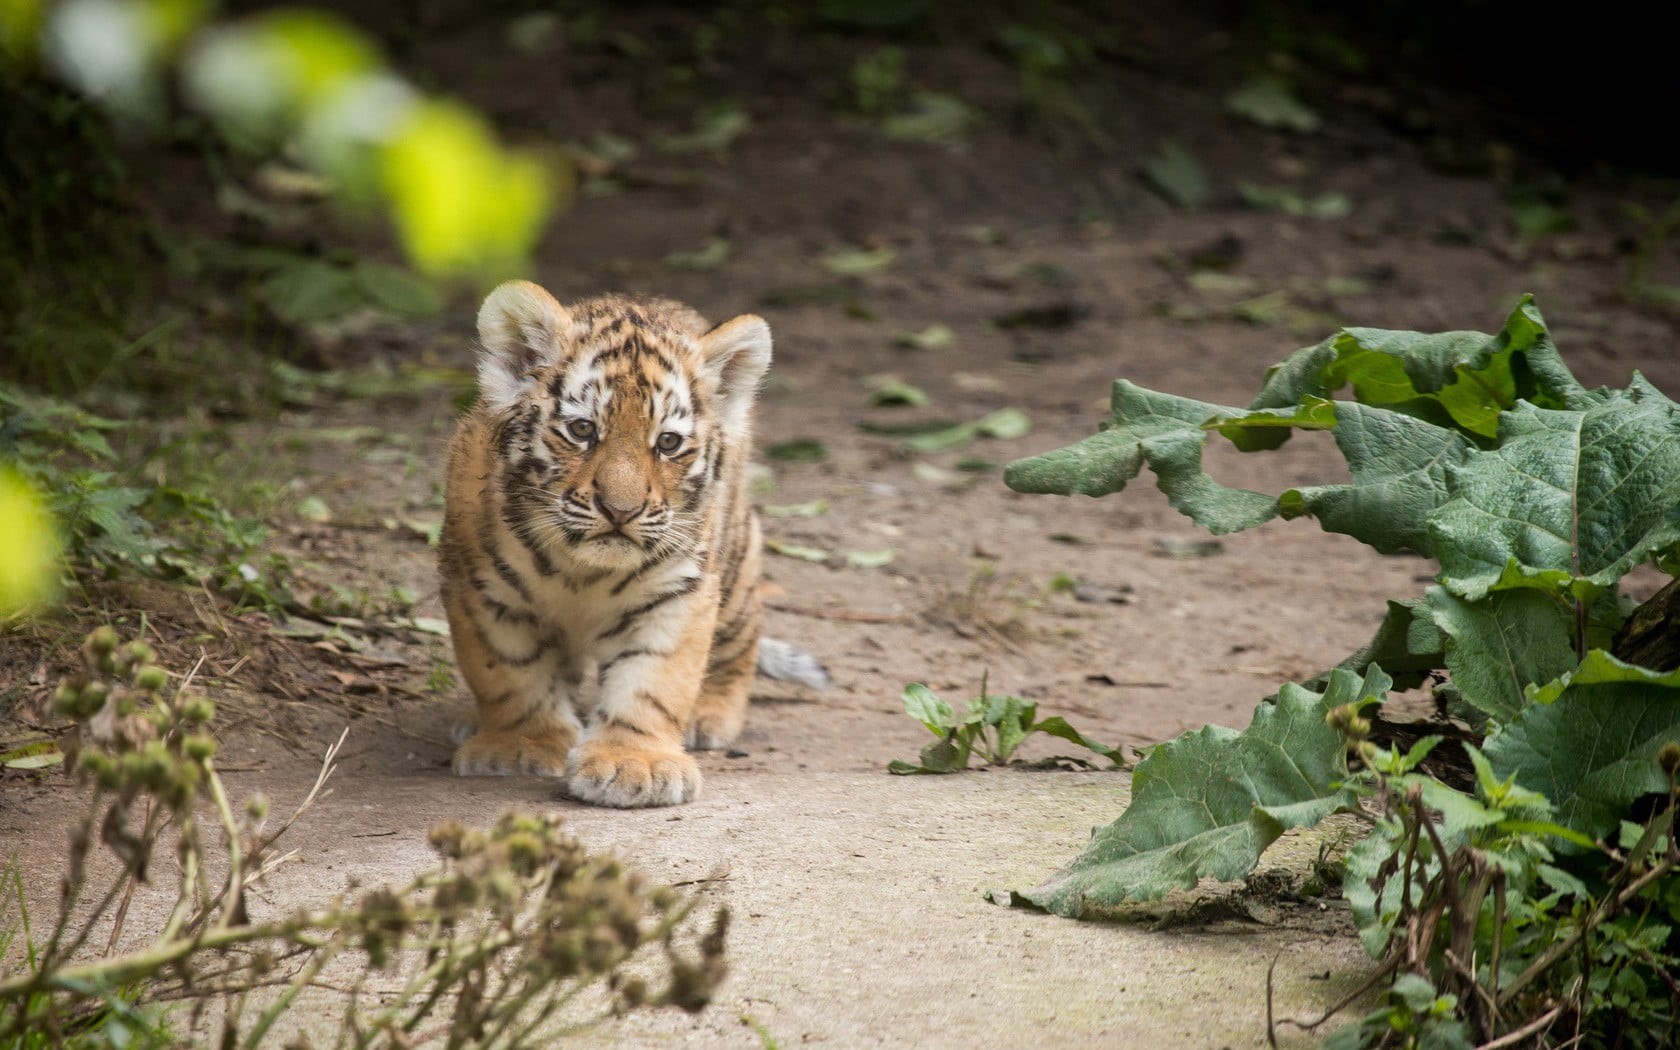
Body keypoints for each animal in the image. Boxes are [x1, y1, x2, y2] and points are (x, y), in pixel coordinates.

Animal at [438, 280, 829, 808]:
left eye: (667, 443)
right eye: (582, 430)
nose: (620, 510)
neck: (582, 571)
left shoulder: (676, 593)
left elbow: (652, 683)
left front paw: (633, 763)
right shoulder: (482, 590)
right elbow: (510, 675)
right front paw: (520, 747)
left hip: (735, 567)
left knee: (739, 641)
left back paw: (708, 714)